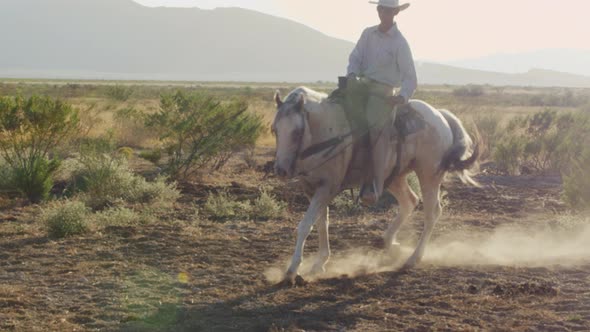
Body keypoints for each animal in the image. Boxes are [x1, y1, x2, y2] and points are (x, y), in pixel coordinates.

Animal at [272, 86, 480, 286]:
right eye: (275, 130)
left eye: (297, 132)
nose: (281, 170)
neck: (326, 132)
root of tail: (440, 114)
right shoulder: (311, 188)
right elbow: (322, 223)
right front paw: (319, 263)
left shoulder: (327, 188)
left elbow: (305, 225)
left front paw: (292, 270)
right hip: (393, 177)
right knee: (409, 201)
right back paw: (389, 242)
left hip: (429, 174)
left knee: (432, 212)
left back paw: (413, 258)